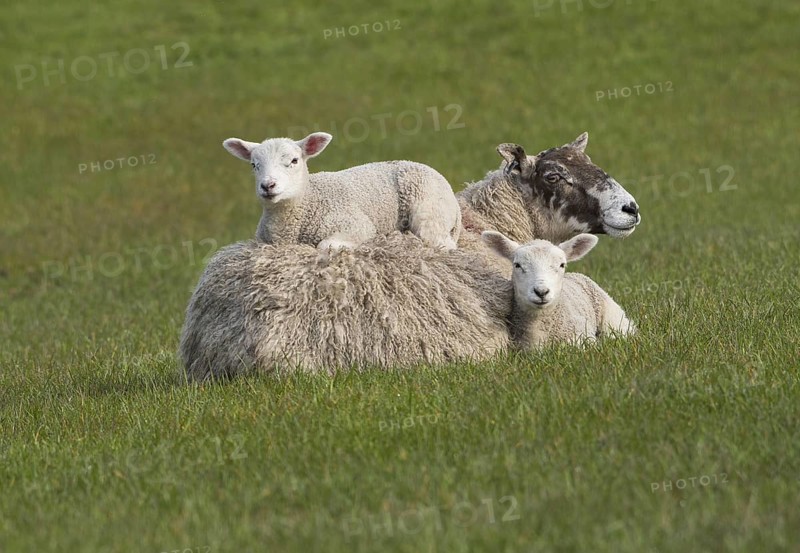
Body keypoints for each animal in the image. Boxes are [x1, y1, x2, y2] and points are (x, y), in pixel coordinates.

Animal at [222, 132, 462, 250]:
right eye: (254, 165)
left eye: (294, 160)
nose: (268, 186)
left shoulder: (356, 225)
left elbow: (325, 245)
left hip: (429, 212)